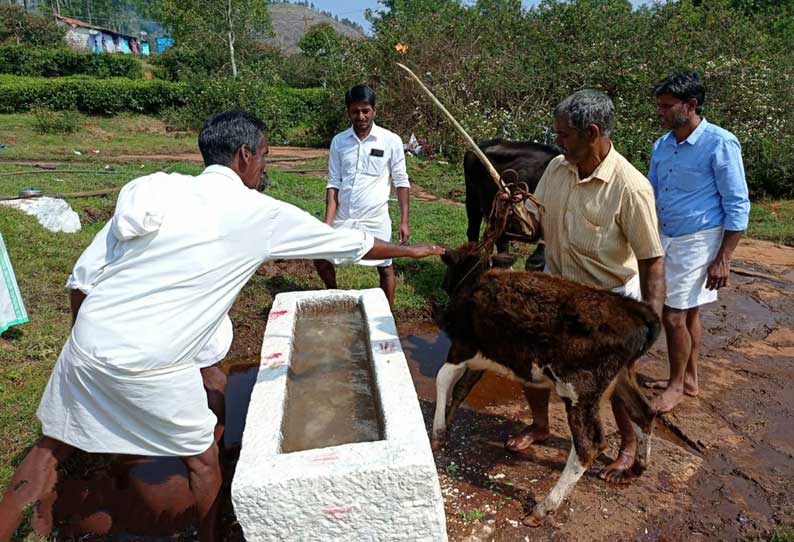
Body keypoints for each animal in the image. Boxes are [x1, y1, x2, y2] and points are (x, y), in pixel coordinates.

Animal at [430, 245, 660, 528]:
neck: (476, 280)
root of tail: (637, 311)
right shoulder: (483, 356)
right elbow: (461, 388)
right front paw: (448, 422)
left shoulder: (462, 345)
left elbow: (443, 378)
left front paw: (438, 432)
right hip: (622, 376)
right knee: (644, 413)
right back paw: (635, 469)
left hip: (578, 390)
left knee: (588, 446)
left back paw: (543, 508)